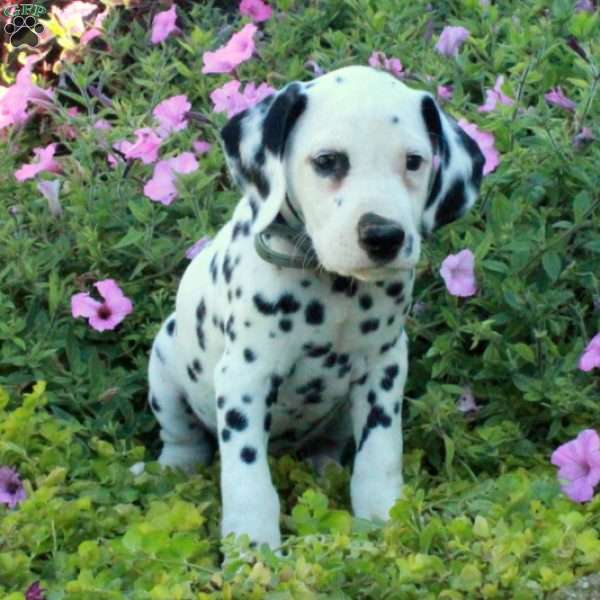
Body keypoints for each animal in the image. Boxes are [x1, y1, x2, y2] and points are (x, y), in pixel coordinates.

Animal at [148, 65, 486, 548]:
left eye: (414, 161)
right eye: (328, 161)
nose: (383, 235)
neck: (334, 287)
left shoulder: (384, 367)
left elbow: (379, 452)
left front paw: (384, 519)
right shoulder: (244, 377)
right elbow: (247, 475)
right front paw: (251, 546)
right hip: (163, 366)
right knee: (181, 438)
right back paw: (173, 471)